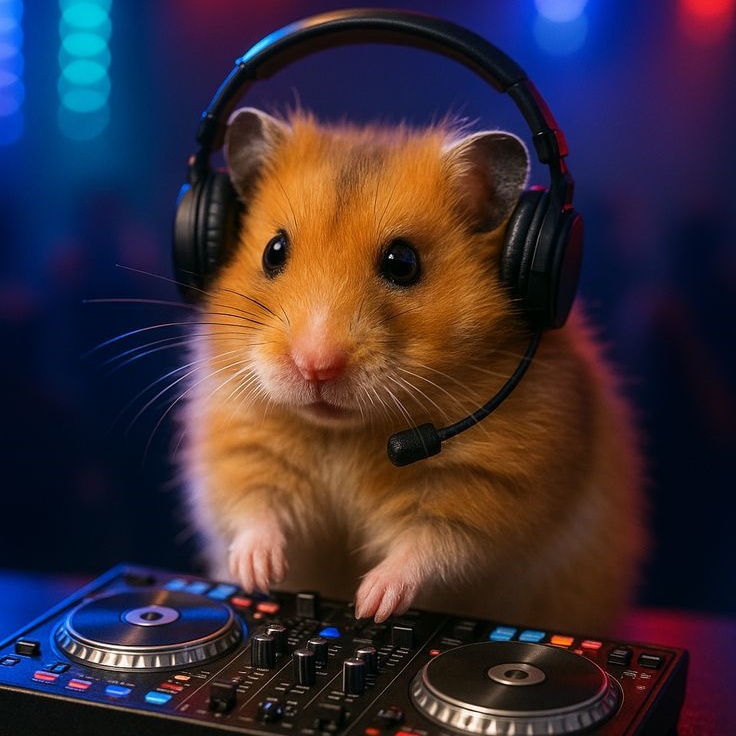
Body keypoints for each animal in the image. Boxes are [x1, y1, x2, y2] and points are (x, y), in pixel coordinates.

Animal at [179, 107, 647, 635]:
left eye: (403, 262)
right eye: (273, 251)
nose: (315, 365)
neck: (343, 433)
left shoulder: (488, 488)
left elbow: (430, 545)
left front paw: (369, 603)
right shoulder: (240, 442)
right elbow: (254, 505)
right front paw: (256, 574)